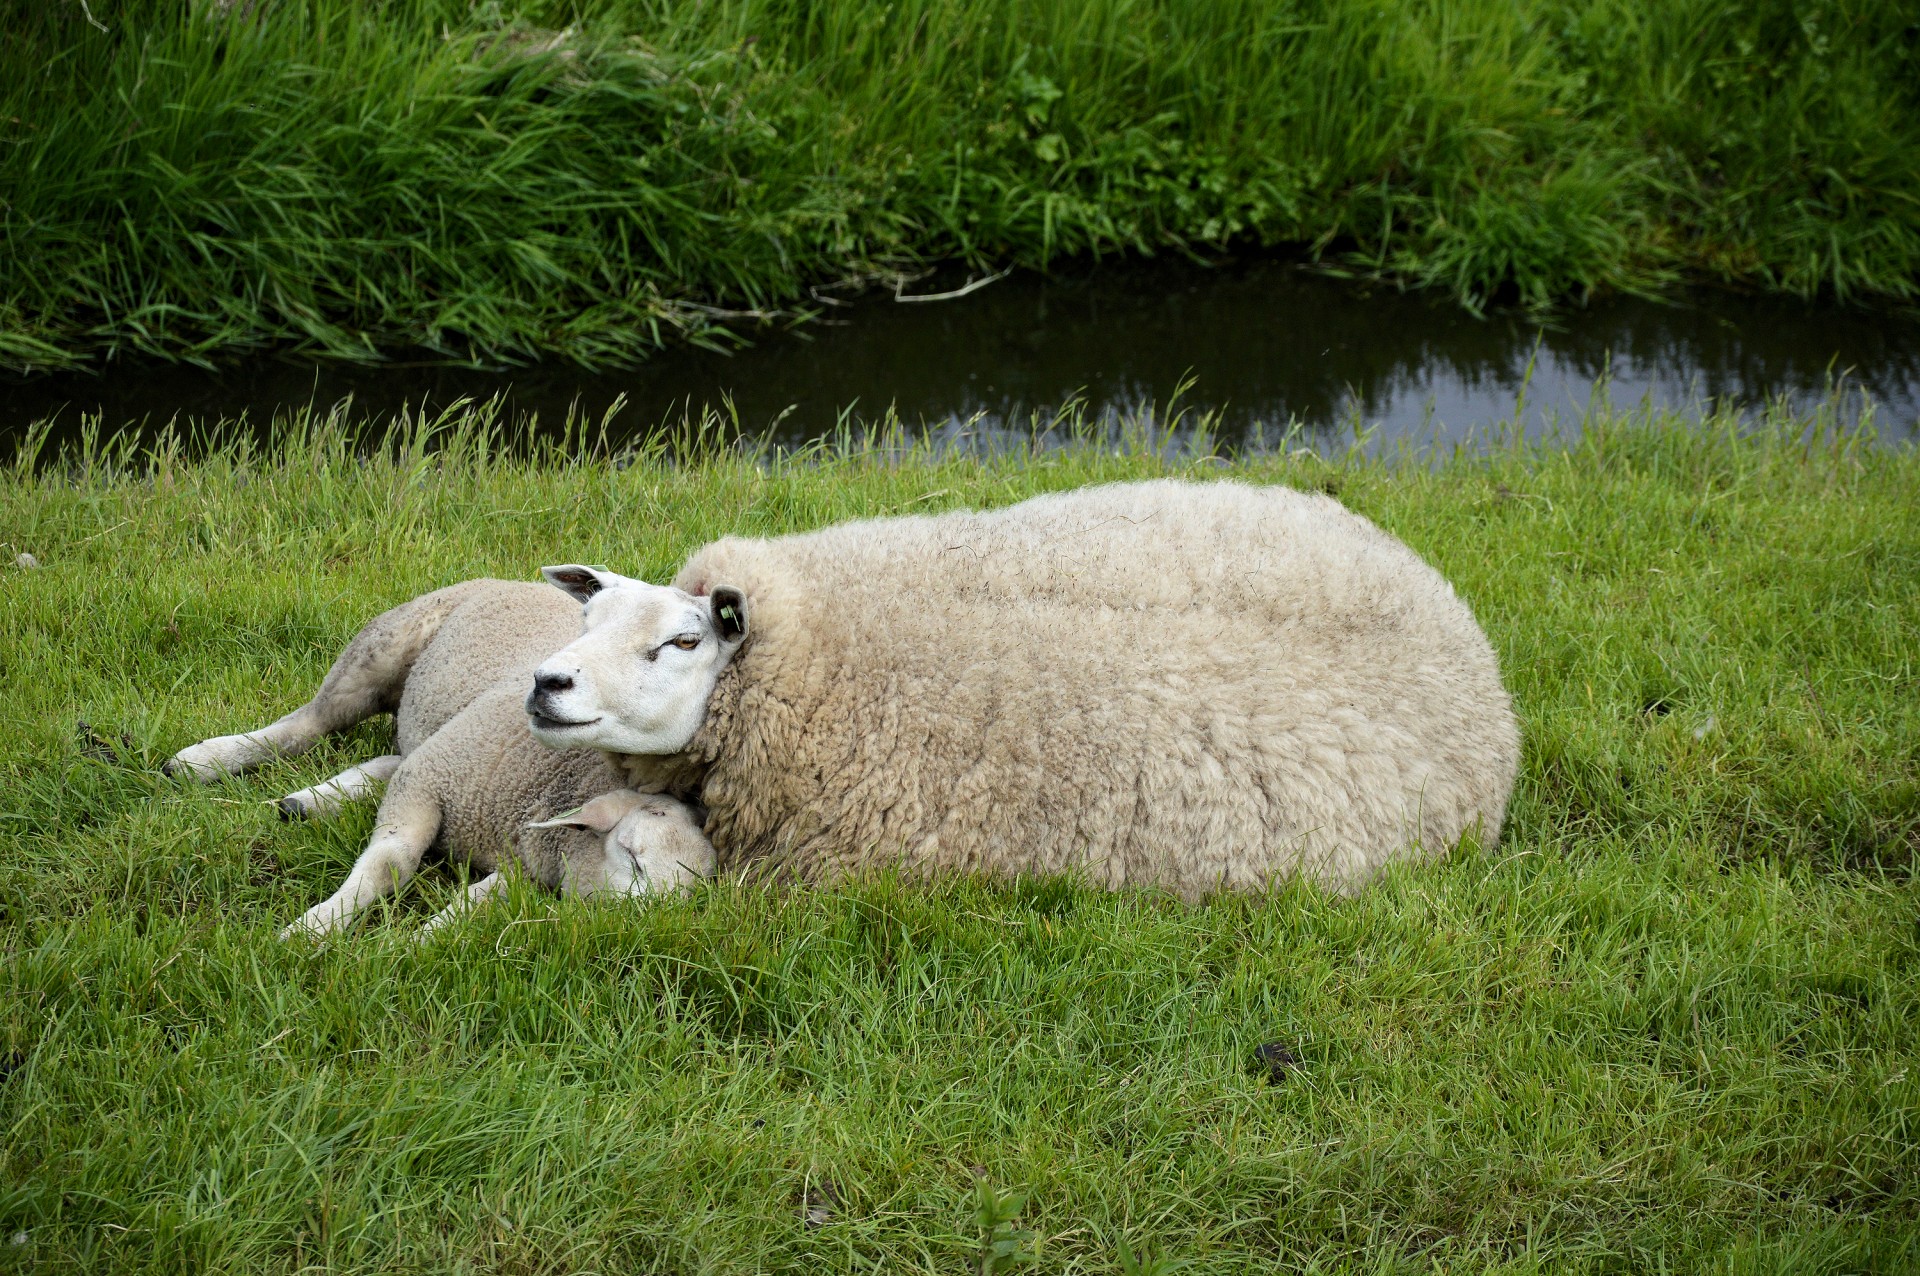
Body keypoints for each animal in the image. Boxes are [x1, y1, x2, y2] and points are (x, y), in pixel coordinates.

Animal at [161, 579, 718, 936]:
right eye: (631, 855)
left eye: (685, 895)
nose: (621, 927)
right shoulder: (431, 778)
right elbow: (388, 865)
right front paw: (312, 930)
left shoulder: (521, 858)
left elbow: (477, 903)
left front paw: (419, 940)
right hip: (378, 652)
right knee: (304, 727)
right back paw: (202, 761)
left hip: (430, 725)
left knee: (386, 761)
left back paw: (308, 803)